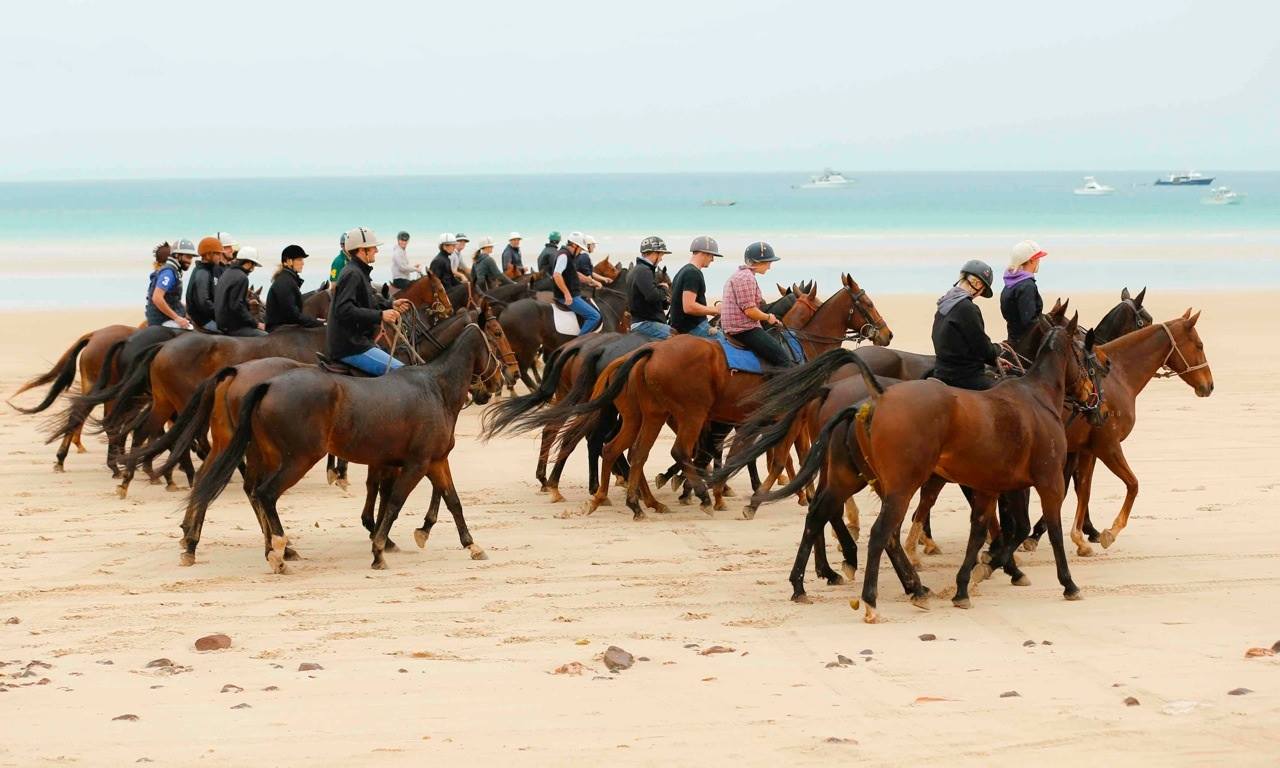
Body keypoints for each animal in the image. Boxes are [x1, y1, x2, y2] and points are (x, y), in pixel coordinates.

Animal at [183, 322, 507, 572]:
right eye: (497, 335)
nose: (503, 379)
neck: (435, 387)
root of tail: (265, 383)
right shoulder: (416, 464)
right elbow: (394, 502)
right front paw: (380, 548)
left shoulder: (435, 460)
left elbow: (452, 500)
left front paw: (471, 544)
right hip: (296, 459)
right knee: (264, 494)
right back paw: (279, 550)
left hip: (259, 453)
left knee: (237, 489)